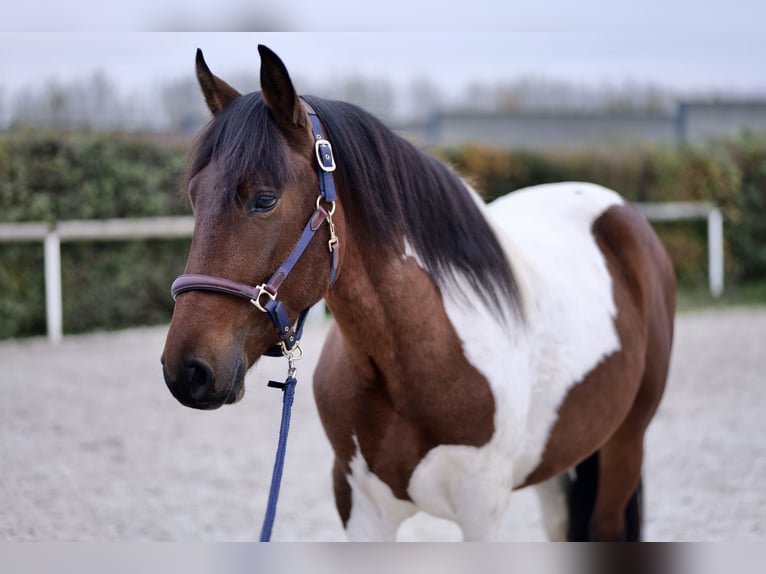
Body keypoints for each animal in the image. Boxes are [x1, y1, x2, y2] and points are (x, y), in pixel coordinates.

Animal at [162, 46, 680, 544]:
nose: (186, 370)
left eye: (265, 200)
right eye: (194, 196)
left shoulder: (482, 512)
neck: (411, 359)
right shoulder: (360, 508)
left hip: (625, 444)